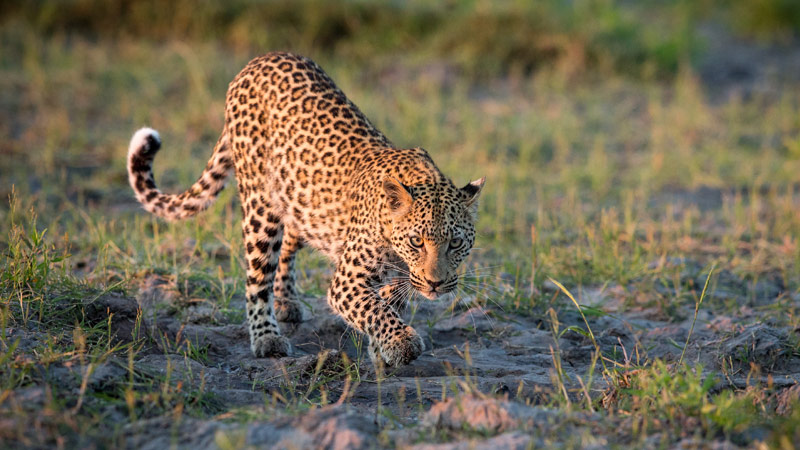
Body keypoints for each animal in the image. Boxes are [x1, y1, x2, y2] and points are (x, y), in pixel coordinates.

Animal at [128, 52, 484, 368]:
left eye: (455, 243)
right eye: (416, 242)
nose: (436, 284)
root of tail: (256, 62)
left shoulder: (397, 277)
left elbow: (388, 301)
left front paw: (382, 348)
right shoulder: (347, 282)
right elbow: (376, 309)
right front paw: (400, 343)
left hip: (299, 200)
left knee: (288, 242)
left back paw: (287, 302)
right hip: (261, 206)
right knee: (258, 277)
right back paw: (267, 338)